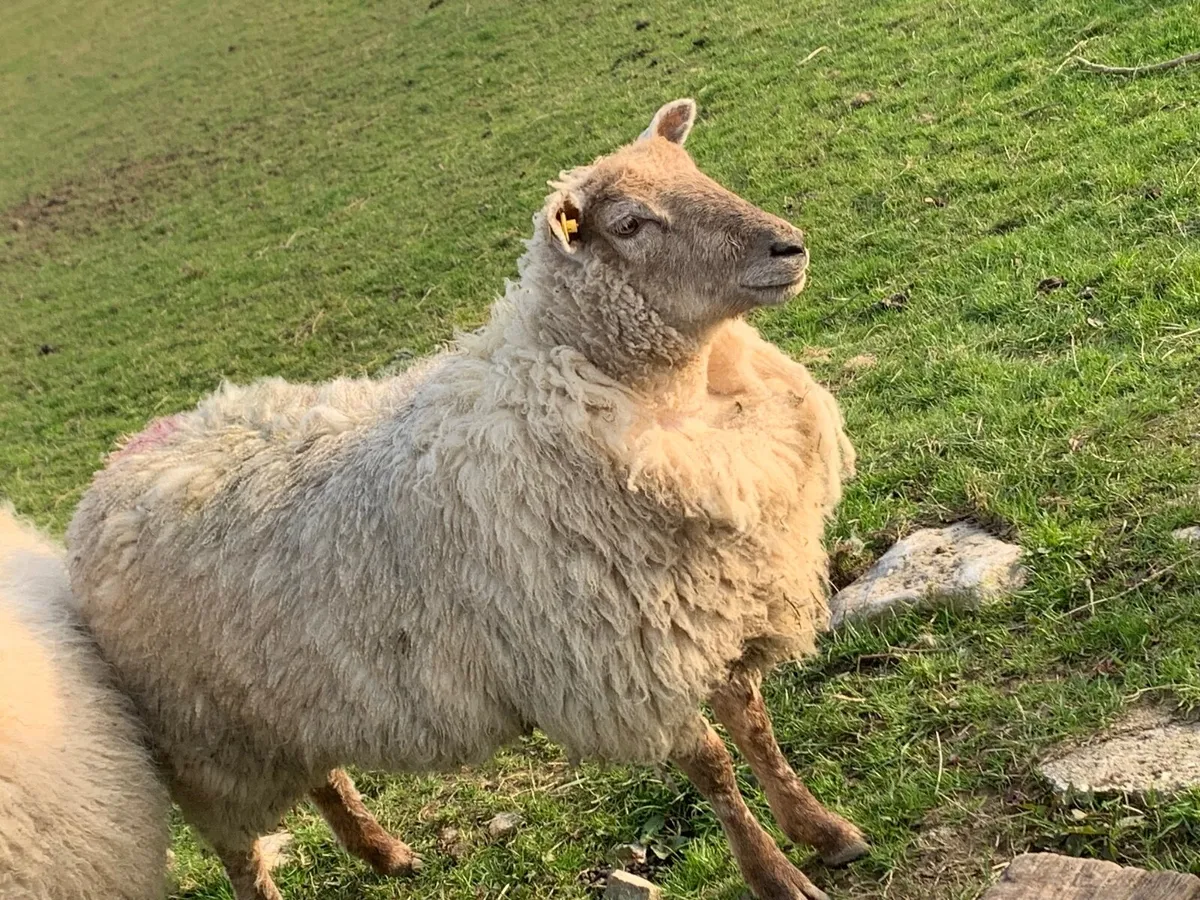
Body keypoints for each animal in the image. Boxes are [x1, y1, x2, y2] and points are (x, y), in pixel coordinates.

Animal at [67, 99, 866, 900]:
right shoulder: (618, 666)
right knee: (242, 852)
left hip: (284, 705)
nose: (788, 247)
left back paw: (386, 854)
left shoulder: (715, 608)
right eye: (632, 223)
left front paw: (822, 831)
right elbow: (715, 769)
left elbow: (754, 728)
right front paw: (775, 876)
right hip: (209, 749)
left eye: (697, 171)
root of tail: (113, 472)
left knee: (325, 778)